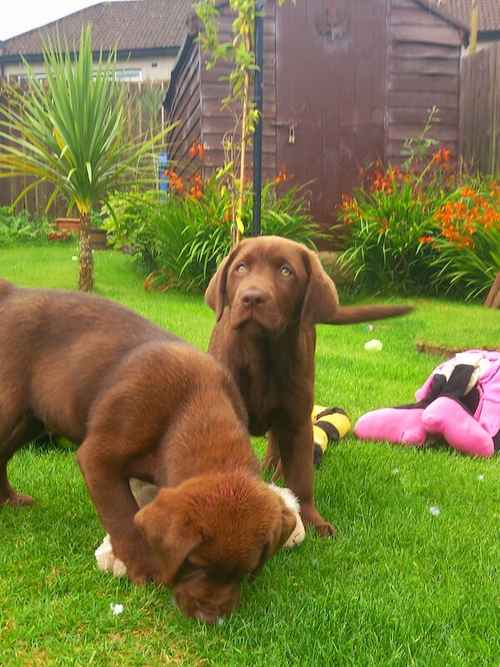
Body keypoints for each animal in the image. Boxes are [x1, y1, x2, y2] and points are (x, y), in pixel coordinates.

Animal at [205, 236, 412, 536]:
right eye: (240, 268)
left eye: (286, 271)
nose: (252, 297)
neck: (262, 352)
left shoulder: (298, 421)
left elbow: (302, 477)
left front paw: (313, 520)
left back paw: (276, 470)